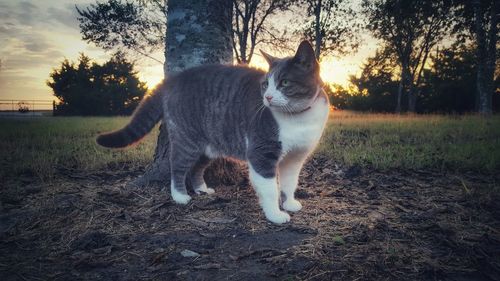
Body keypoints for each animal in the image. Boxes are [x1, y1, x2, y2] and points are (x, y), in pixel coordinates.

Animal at [97, 40, 332, 223]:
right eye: (265, 84)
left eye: (284, 82)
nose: (267, 97)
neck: (298, 118)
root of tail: (174, 79)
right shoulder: (261, 152)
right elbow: (269, 188)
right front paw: (275, 215)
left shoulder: (295, 158)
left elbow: (290, 183)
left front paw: (290, 203)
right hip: (187, 139)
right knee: (178, 166)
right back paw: (180, 196)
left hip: (209, 146)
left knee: (195, 169)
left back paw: (202, 189)